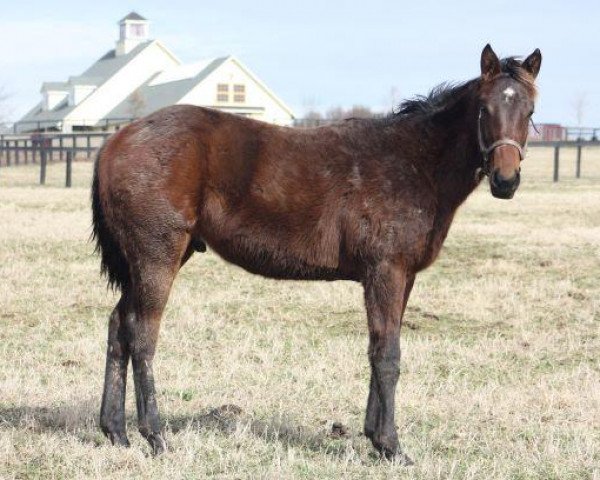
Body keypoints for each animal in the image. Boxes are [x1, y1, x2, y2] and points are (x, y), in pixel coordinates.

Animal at [91, 45, 540, 462]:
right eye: (484, 108)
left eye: (530, 109)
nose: (506, 180)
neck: (413, 163)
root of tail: (116, 140)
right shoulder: (385, 271)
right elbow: (388, 354)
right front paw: (392, 446)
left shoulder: (403, 275)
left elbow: (379, 347)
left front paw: (375, 437)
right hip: (157, 255)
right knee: (142, 334)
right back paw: (155, 436)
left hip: (152, 260)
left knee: (118, 325)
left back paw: (116, 431)